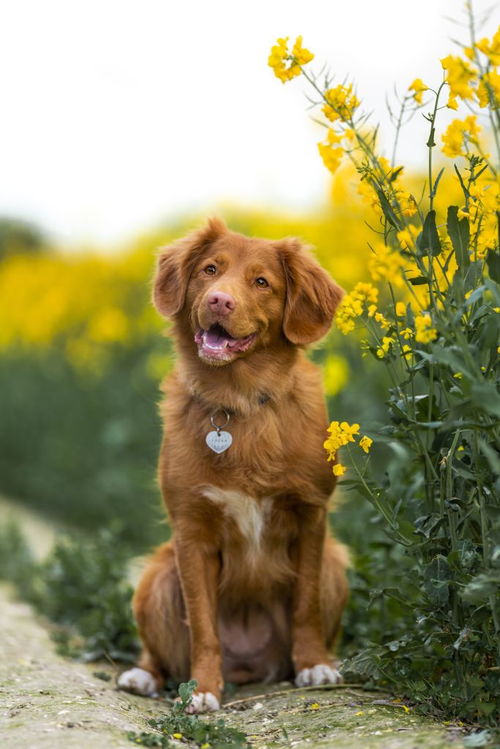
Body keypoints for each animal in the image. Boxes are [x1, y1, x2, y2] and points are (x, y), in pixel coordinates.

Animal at [118, 218, 350, 712]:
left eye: (262, 282)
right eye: (210, 270)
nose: (219, 300)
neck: (237, 402)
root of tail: (249, 668)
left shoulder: (311, 516)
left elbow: (305, 605)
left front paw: (314, 665)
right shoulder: (191, 532)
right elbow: (203, 626)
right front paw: (203, 689)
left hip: (336, 563)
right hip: (157, 575)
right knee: (160, 654)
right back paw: (144, 676)